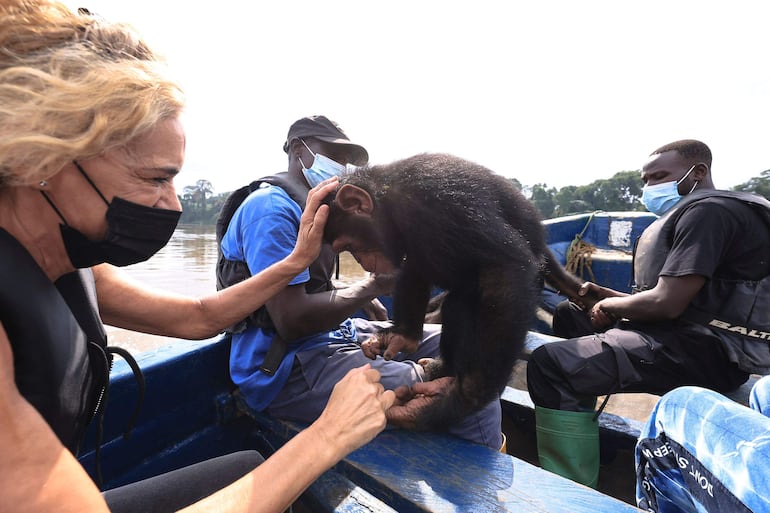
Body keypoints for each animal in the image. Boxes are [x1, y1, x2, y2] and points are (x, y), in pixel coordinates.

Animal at [322, 153, 584, 432]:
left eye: (349, 245)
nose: (363, 262)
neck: (388, 201)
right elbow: (416, 267)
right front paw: (402, 336)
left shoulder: (440, 206)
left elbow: (506, 265)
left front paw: (465, 397)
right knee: (457, 305)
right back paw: (442, 367)